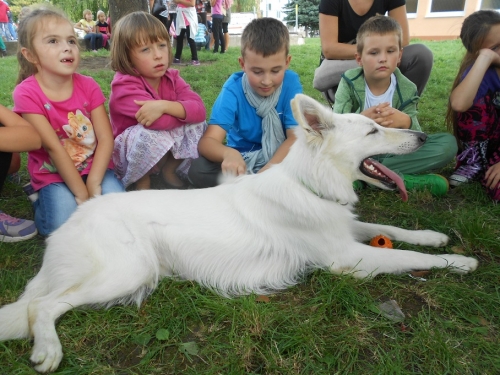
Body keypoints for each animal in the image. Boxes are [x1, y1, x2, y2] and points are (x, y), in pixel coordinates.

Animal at [0, 94, 478, 374]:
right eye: (373, 130)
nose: (421, 135)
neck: (309, 183)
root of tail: (71, 223)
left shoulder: (346, 227)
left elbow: (393, 230)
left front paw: (434, 236)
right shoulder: (347, 257)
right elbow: (406, 257)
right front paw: (459, 261)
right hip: (128, 270)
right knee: (41, 306)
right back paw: (48, 349)